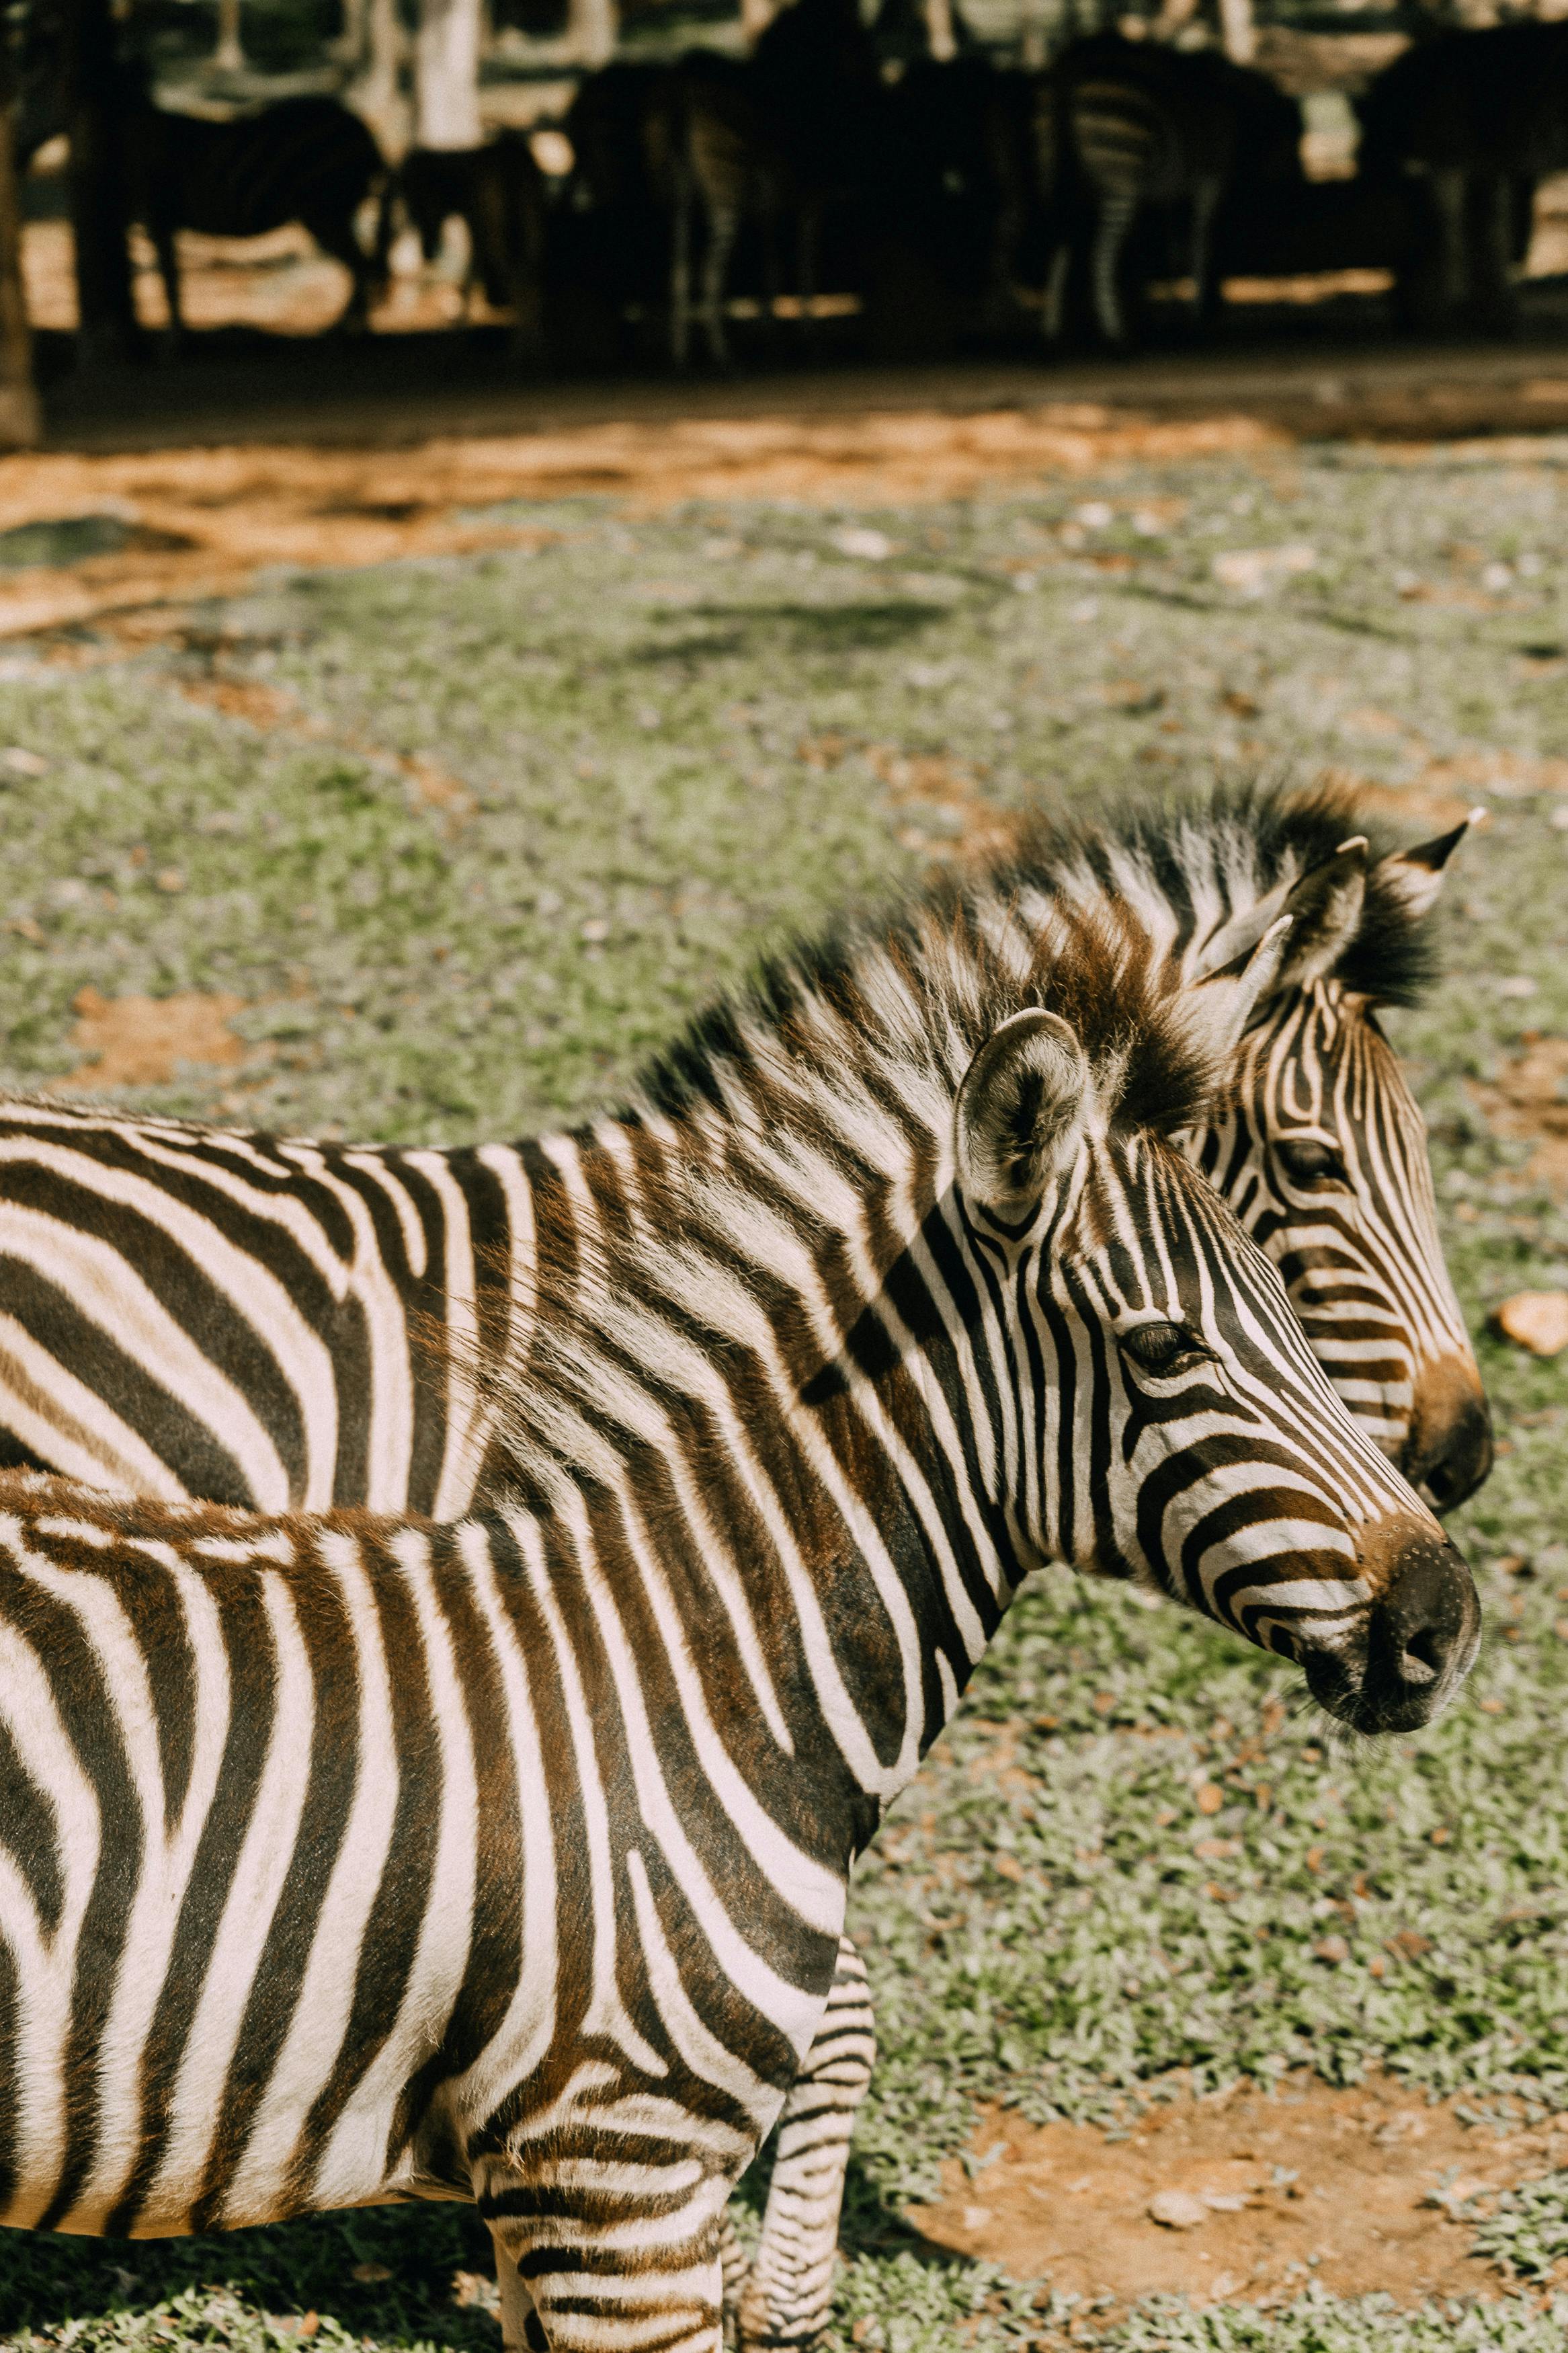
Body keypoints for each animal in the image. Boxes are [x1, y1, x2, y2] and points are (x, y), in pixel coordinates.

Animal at [0, 904, 1485, 2353]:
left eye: (1287, 1304)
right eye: (1167, 1348)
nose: (1444, 1617)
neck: (683, 1659)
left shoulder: (556, 2191)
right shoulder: (617, 2173)